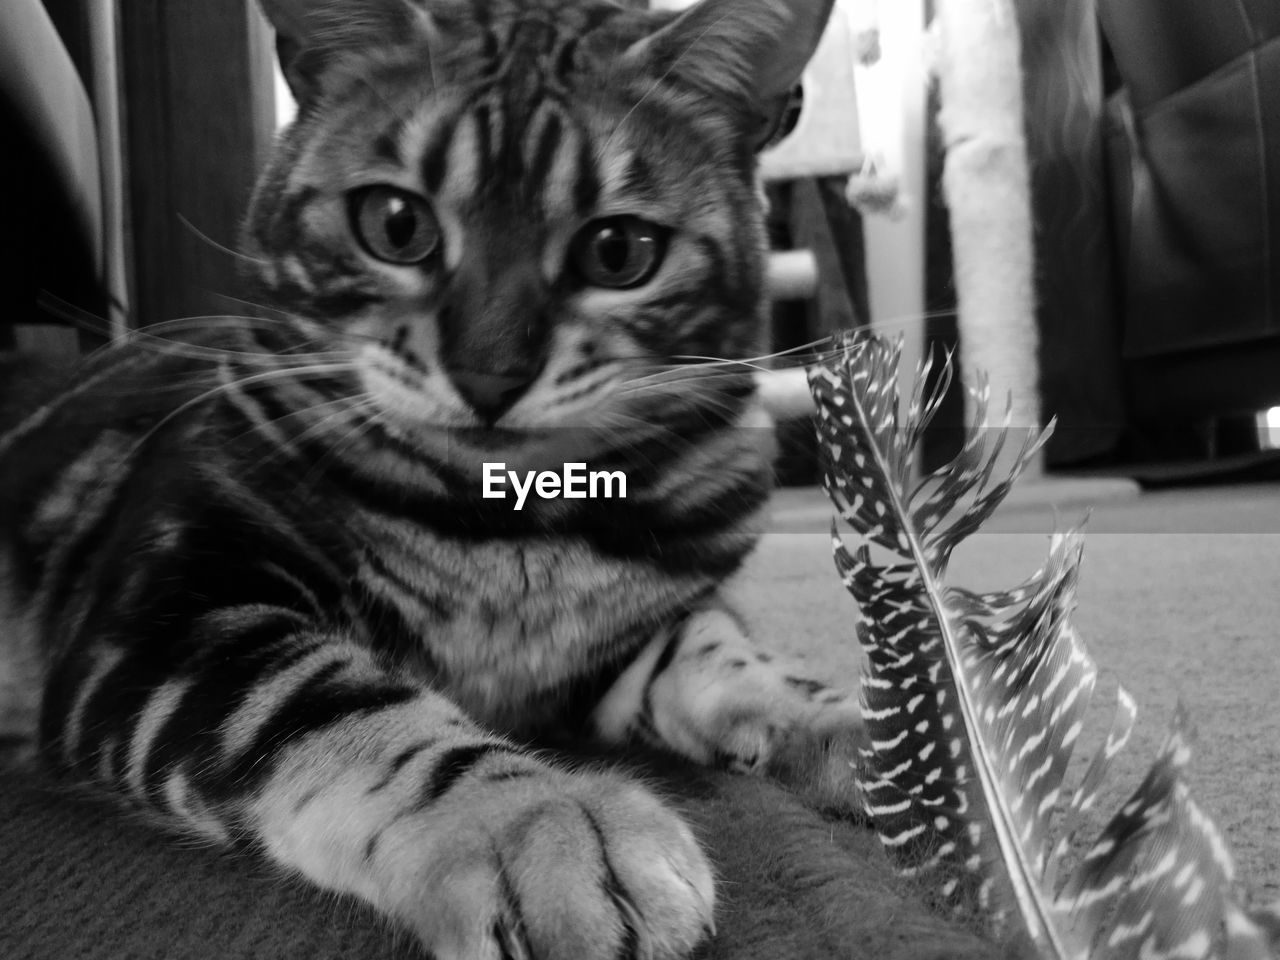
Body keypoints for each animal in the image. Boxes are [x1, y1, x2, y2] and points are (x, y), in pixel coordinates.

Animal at [2, 3, 860, 957]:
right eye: (395, 225)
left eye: (619, 251)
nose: (490, 376)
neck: (511, 529)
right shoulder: (164, 616)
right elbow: (338, 699)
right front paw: (540, 819)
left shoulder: (630, 638)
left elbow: (727, 653)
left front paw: (870, 725)